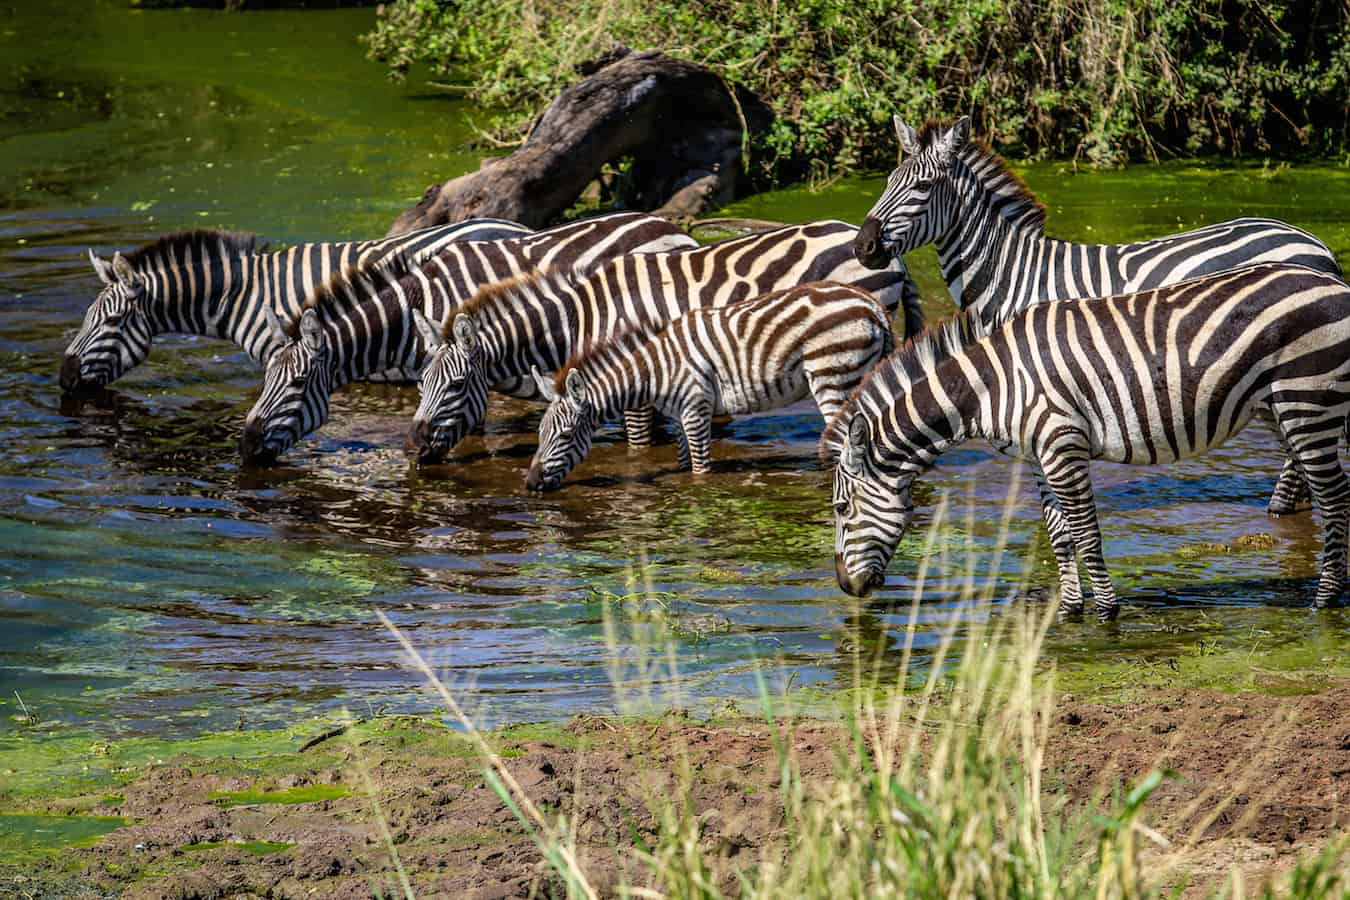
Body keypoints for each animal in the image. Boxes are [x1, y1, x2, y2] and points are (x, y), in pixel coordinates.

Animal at [408, 221, 922, 464]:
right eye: (419, 386)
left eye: (454, 387)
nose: (413, 444)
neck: (581, 316)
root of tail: (893, 256)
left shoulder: (634, 378)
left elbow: (637, 446)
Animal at [523, 282, 894, 491]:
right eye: (539, 434)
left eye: (566, 435)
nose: (530, 484)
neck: (656, 371)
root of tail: (871, 303)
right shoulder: (681, 415)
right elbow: (684, 461)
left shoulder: (696, 408)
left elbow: (700, 471)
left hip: (834, 377)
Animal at [823, 262, 1350, 619]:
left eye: (842, 509)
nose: (845, 586)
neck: (991, 385)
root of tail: (1335, 283)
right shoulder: (1038, 456)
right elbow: (1059, 534)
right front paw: (1069, 610)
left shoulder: (1062, 442)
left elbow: (1087, 532)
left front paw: (1106, 612)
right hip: (1289, 411)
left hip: (1308, 401)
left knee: (1334, 498)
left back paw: (1324, 600)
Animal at [853, 116, 1346, 517]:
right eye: (887, 182)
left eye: (921, 188)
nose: (863, 247)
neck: (1014, 274)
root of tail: (1314, 240)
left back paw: (1280, 508)